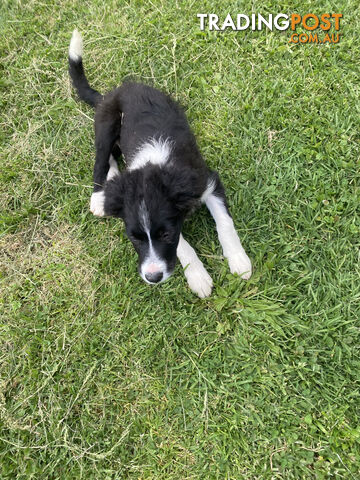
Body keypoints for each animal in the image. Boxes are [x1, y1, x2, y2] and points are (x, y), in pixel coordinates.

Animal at [69, 29, 252, 296]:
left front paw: (239, 261)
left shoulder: (208, 181)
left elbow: (224, 223)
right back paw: (99, 197)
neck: (156, 167)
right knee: (100, 160)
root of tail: (111, 93)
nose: (152, 277)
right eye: (134, 238)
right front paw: (198, 277)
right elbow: (183, 246)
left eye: (166, 234)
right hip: (106, 123)